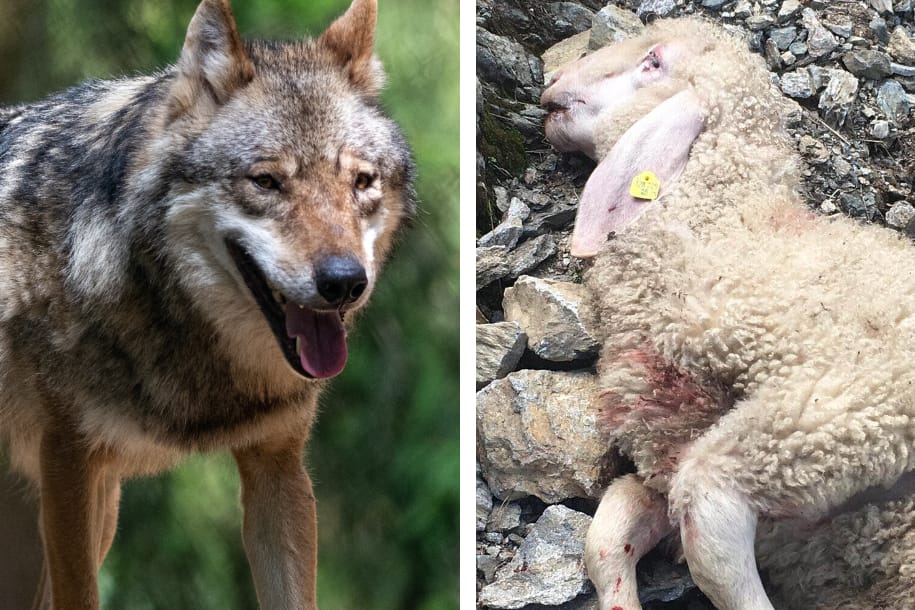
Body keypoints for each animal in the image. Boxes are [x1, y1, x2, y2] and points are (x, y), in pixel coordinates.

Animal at [540, 17, 915, 608]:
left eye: (653, 61)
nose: (551, 82)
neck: (729, 228)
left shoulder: (845, 403)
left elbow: (710, 530)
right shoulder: (669, 455)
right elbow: (607, 534)